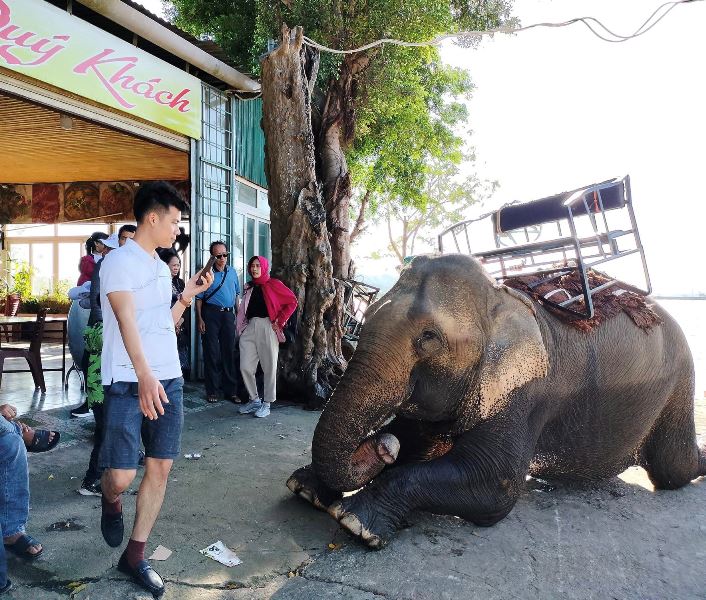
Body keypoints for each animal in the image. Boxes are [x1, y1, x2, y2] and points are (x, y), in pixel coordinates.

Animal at [284, 253, 700, 548]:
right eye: (365, 313)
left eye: (429, 337)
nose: (382, 444)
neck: (499, 299)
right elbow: (417, 442)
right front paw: (305, 488)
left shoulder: (528, 392)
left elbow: (496, 484)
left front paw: (356, 521)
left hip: (681, 381)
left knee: (673, 468)